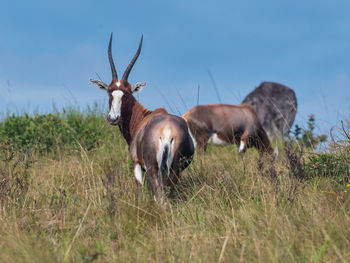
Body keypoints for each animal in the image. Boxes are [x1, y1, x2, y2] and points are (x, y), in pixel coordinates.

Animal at [89, 34, 194, 203]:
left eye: (126, 93)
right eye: (109, 91)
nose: (113, 118)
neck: (144, 117)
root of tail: (167, 132)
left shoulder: (136, 163)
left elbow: (138, 190)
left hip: (154, 169)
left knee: (160, 197)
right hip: (174, 171)